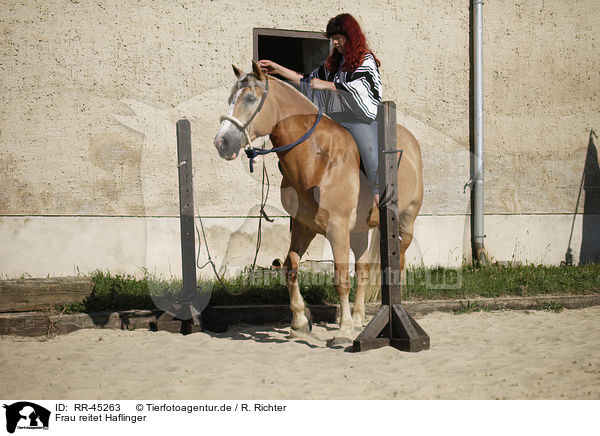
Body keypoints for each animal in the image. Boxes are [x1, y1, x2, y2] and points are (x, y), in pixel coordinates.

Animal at [213, 61, 424, 344]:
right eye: (230, 98)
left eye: (249, 98)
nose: (221, 143)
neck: (319, 160)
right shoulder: (305, 226)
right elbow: (290, 266)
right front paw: (300, 321)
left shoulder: (337, 229)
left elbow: (341, 279)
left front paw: (343, 330)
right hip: (359, 231)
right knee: (363, 268)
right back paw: (359, 318)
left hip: (405, 222)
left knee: (397, 261)